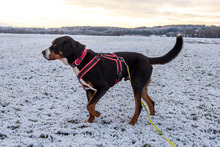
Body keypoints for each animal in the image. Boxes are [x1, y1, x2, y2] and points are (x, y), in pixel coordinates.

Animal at [42, 34, 183, 125]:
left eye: (54, 45)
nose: (42, 52)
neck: (80, 59)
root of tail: (147, 59)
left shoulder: (103, 87)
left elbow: (90, 105)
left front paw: (98, 114)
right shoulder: (88, 90)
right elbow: (90, 106)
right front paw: (89, 122)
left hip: (136, 85)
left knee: (139, 106)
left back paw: (132, 122)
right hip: (141, 86)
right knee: (151, 102)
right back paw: (152, 119)